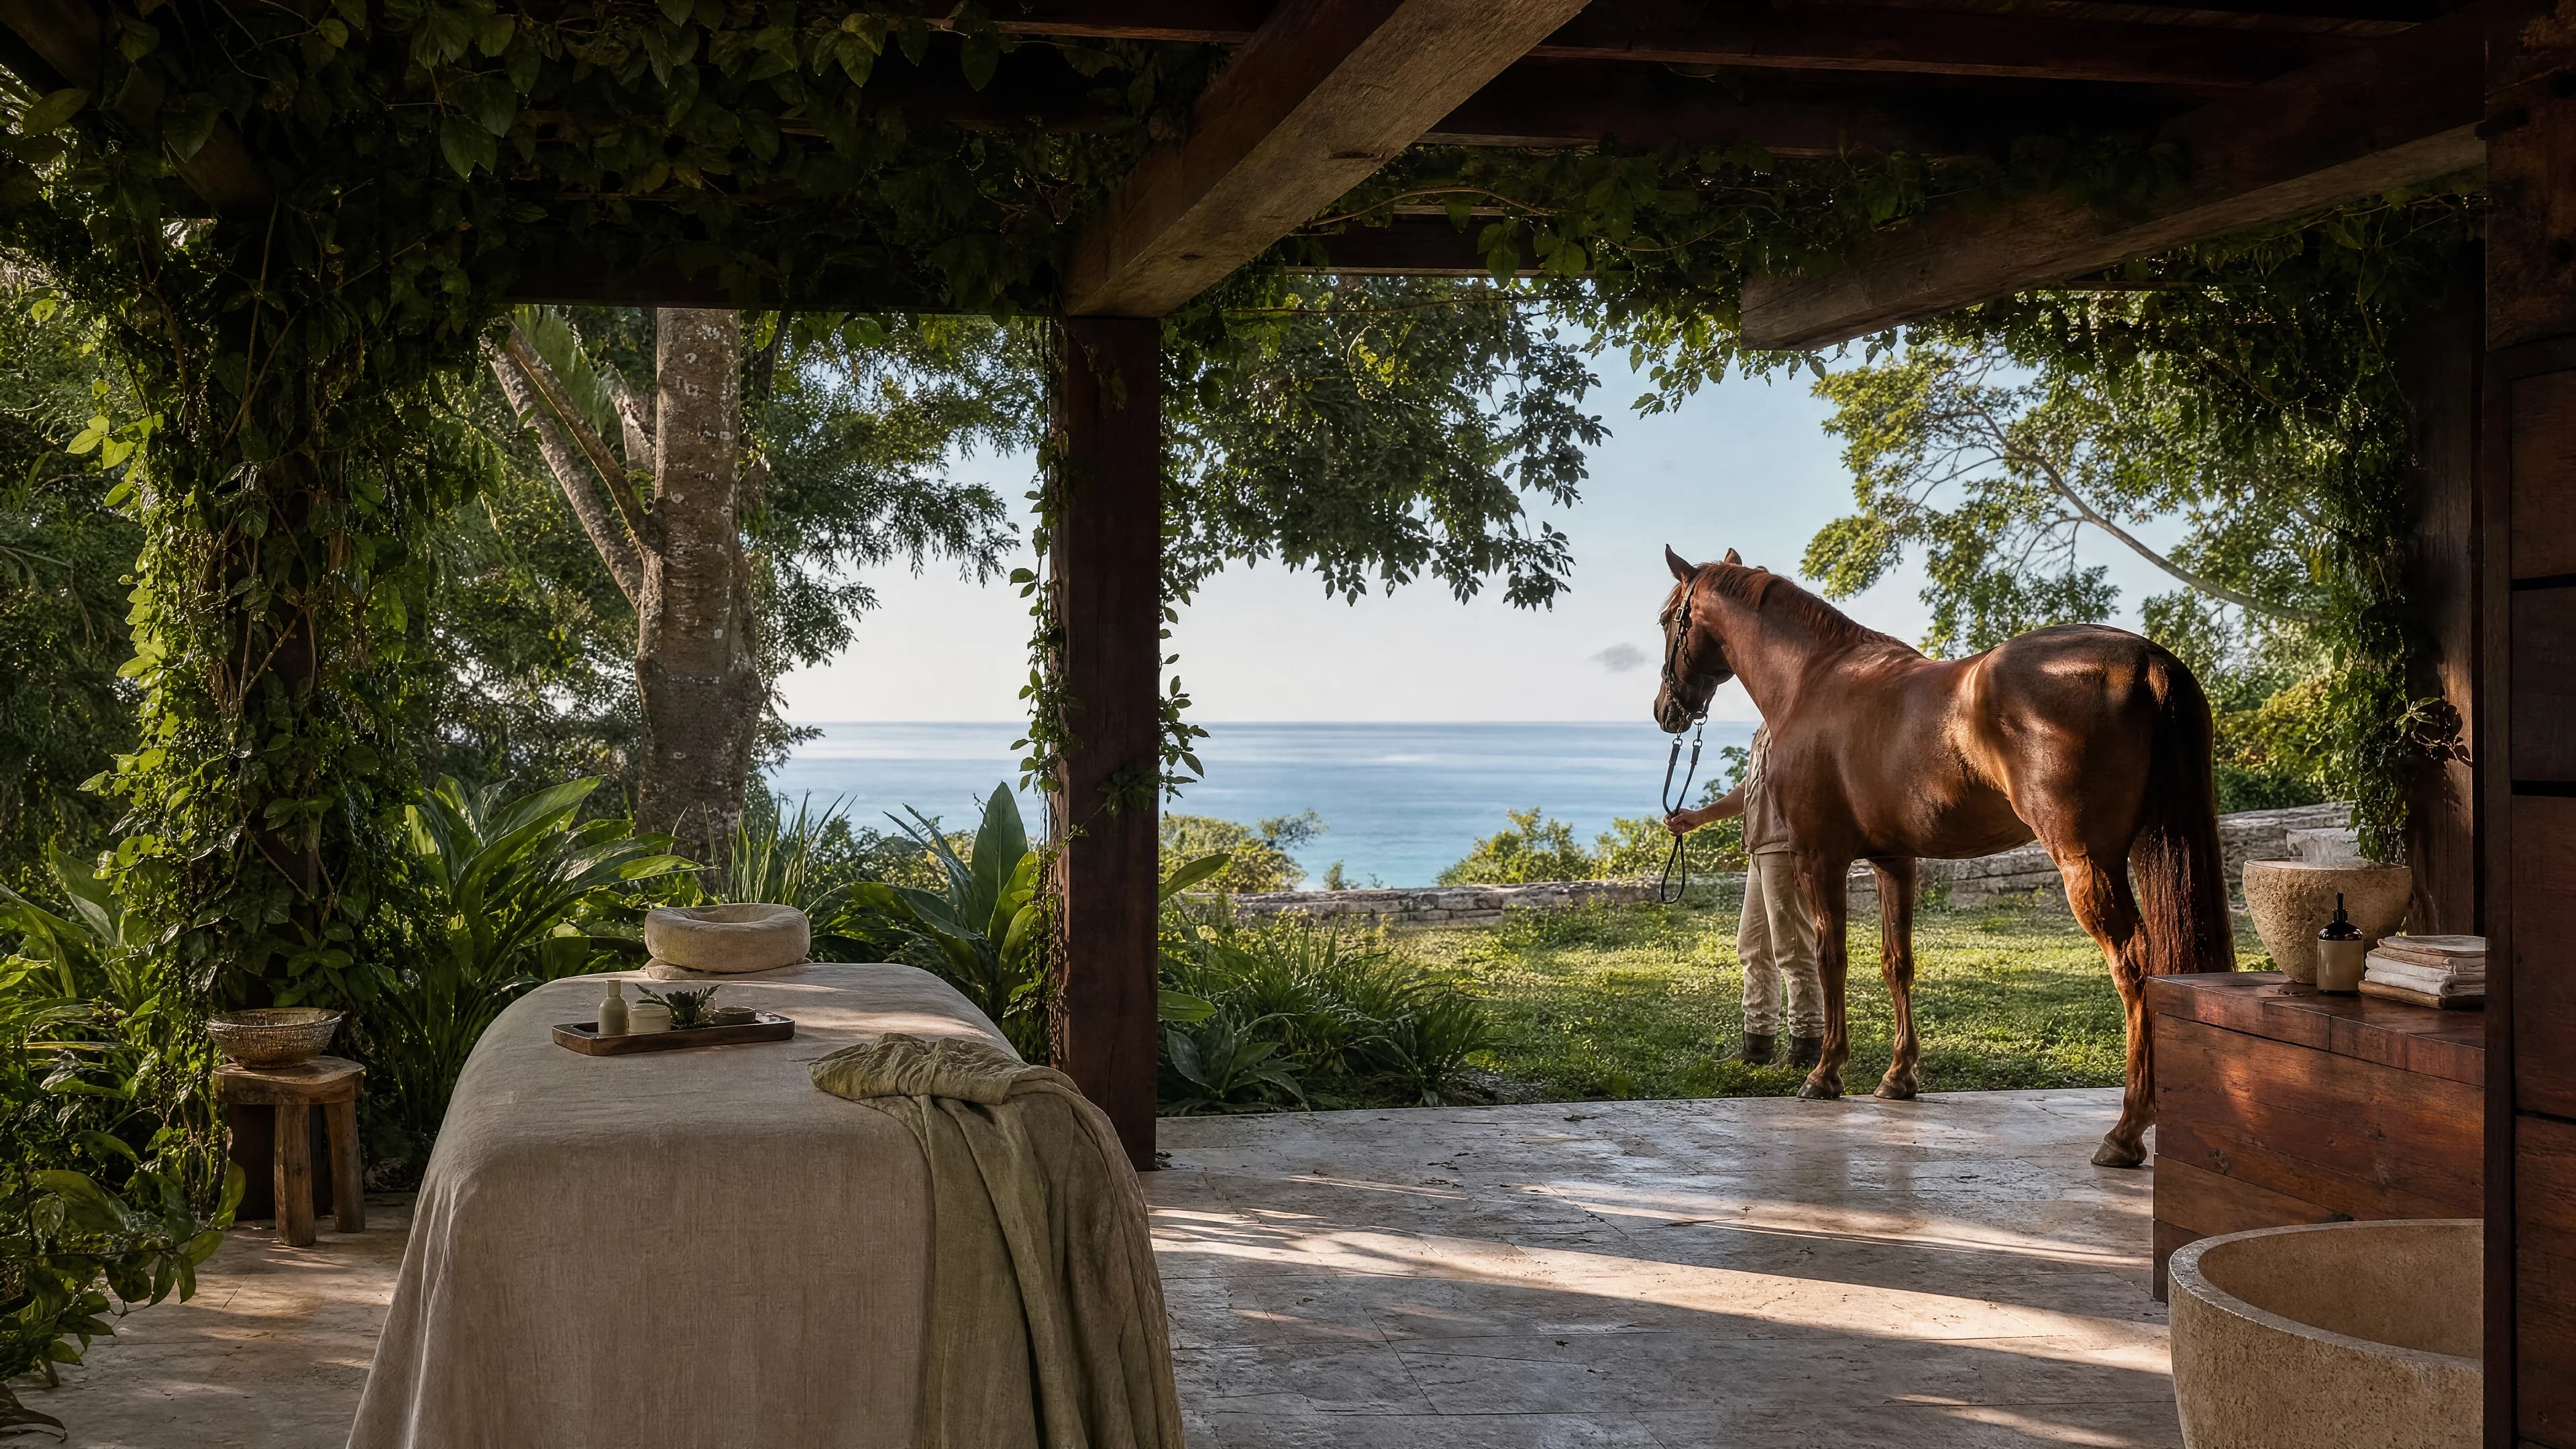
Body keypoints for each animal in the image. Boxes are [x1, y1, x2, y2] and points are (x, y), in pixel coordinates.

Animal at [1652, 547, 2234, 1168]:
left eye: (1666, 620)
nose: (1665, 710)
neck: (1815, 680)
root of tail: (2145, 659)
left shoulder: (1818, 858)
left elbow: (1831, 959)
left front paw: (1825, 1073)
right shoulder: (1894, 861)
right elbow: (1896, 962)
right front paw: (1898, 1077)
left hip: (2088, 864)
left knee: (2133, 964)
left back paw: (2125, 1131)